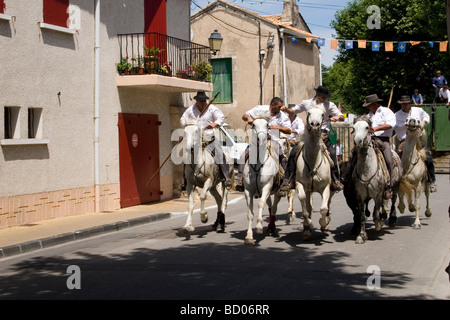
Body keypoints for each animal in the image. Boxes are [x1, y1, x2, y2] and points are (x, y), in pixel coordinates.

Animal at [244, 112, 284, 245]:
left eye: (267, 125)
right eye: (253, 125)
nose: (260, 139)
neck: (258, 164)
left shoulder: (266, 187)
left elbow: (261, 204)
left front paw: (259, 227)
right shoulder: (248, 191)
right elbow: (250, 213)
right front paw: (249, 236)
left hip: (275, 191)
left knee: (274, 207)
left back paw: (271, 228)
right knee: (271, 207)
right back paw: (270, 228)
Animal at [296, 104, 334, 241]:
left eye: (323, 114)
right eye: (308, 112)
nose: (315, 125)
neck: (313, 162)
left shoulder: (326, 187)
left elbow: (323, 208)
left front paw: (323, 224)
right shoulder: (300, 185)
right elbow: (305, 208)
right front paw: (308, 225)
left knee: (328, 204)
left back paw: (326, 224)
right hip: (309, 191)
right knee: (309, 206)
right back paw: (307, 231)